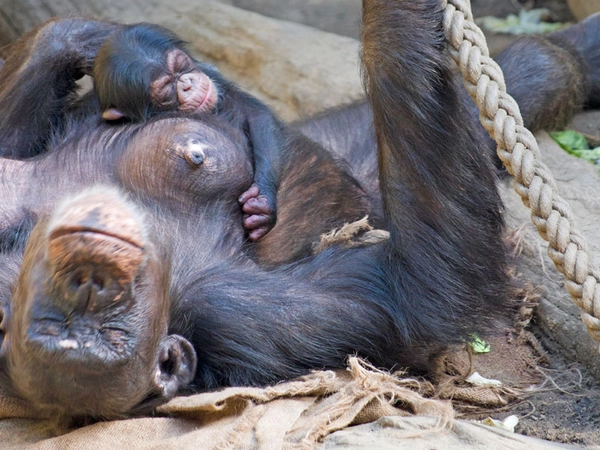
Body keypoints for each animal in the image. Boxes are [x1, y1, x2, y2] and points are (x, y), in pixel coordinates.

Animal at [0, 0, 596, 422]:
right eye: (101, 327)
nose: (89, 266)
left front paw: (93, 37)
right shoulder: (228, 313)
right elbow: (422, 290)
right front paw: (389, 21)